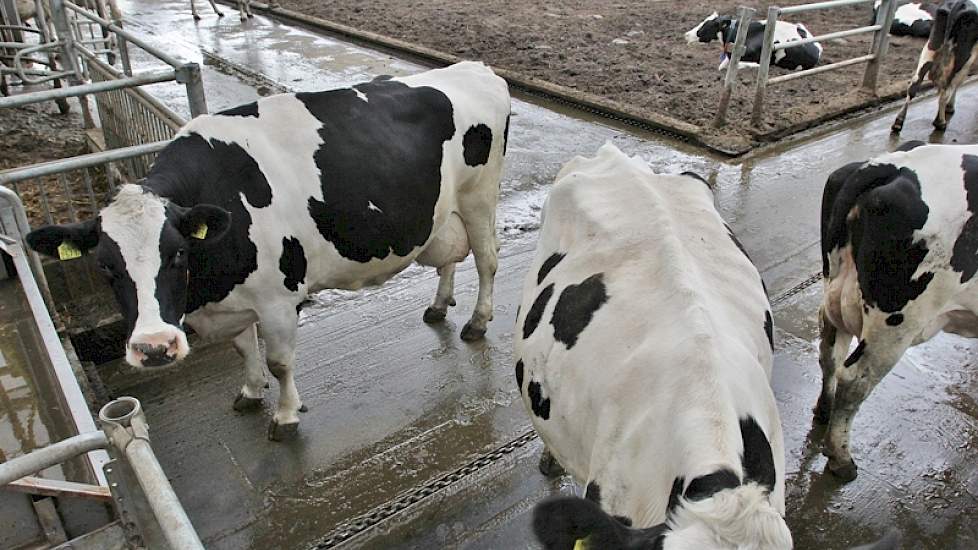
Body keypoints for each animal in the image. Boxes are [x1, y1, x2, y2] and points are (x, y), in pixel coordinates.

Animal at [24, 61, 510, 440]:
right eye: (106, 266)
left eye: (177, 254)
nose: (155, 347)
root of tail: (476, 69)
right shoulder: (236, 298)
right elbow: (244, 349)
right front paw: (250, 392)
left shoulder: (278, 298)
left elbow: (279, 361)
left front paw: (286, 415)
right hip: (441, 212)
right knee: (449, 257)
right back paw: (438, 306)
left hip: (479, 197)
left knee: (487, 259)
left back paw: (477, 322)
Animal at [816, 142, 976, 484]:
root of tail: (892, 166)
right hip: (897, 321)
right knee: (855, 379)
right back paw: (841, 459)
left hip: (837, 291)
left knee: (830, 354)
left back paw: (824, 411)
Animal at [892, 0, 976, 133]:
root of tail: (961, 3)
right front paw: (950, 107)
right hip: (963, 57)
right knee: (947, 87)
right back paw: (940, 122)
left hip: (930, 48)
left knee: (914, 85)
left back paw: (898, 122)